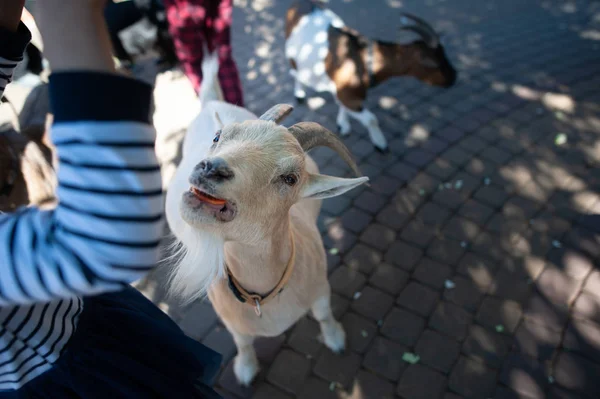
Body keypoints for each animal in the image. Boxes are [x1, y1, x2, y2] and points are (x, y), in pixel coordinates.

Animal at [166, 52, 368, 384]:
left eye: (290, 178)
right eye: (218, 137)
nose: (210, 168)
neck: (264, 297)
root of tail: (210, 103)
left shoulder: (320, 288)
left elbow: (324, 314)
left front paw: (336, 339)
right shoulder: (233, 323)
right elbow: (243, 342)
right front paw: (246, 370)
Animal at [284, 0, 458, 152]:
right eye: (435, 63)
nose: (453, 77)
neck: (362, 60)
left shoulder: (347, 92)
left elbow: (343, 105)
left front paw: (343, 124)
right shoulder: (347, 94)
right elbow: (371, 119)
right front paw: (381, 144)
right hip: (292, 55)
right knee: (295, 72)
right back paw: (299, 95)